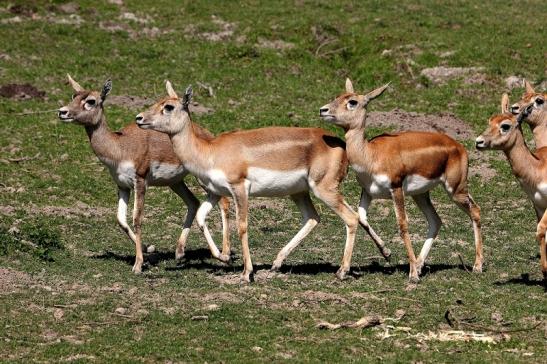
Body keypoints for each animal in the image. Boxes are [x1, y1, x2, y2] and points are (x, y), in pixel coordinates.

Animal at [57, 74, 231, 272]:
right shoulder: (122, 186)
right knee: (193, 202)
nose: (62, 112)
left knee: (224, 202)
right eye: (74, 96)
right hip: (175, 182)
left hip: (201, 178)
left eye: (91, 101)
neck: (120, 147)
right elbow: (121, 219)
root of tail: (207, 134)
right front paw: (149, 250)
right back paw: (179, 253)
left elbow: (136, 219)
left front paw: (138, 264)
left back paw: (225, 254)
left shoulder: (140, 182)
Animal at [134, 81, 390, 282]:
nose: (139, 118)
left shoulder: (239, 188)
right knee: (314, 218)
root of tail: (341, 145)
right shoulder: (215, 192)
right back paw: (278, 263)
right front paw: (223, 257)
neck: (209, 151)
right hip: (299, 192)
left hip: (324, 189)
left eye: (168, 106)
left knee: (351, 218)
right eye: (157, 101)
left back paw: (342, 271)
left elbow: (242, 226)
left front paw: (247, 273)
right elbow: (200, 217)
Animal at [322, 79, 484, 282]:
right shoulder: (368, 191)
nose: (323, 110)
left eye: (352, 102)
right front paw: (386, 253)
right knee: (436, 220)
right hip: (421, 194)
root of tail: (459, 147)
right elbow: (362, 218)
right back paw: (420, 264)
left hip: (455, 190)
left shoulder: (396, 188)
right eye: (337, 96)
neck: (371, 155)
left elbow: (402, 225)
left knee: (475, 211)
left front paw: (412, 274)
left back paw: (477, 266)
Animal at [476, 94, 547, 284]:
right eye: (490, 120)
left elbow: (540, 230)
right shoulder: (538, 204)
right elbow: (542, 233)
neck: (538, 168)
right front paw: (545, 271)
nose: (479, 141)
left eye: (505, 126)